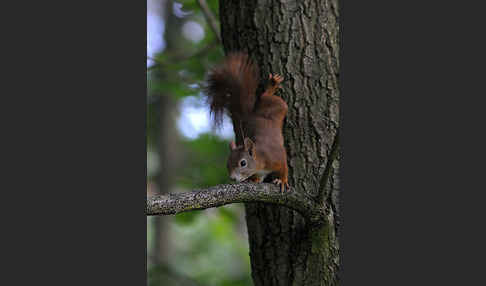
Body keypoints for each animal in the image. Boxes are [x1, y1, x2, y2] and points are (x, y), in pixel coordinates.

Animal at [204, 53, 290, 192]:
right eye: (227, 163)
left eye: (243, 163)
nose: (232, 178)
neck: (261, 159)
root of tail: (254, 112)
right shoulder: (260, 172)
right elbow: (258, 178)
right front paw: (253, 180)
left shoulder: (277, 157)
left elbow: (284, 168)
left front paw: (282, 180)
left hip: (279, 105)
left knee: (267, 96)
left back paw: (272, 86)